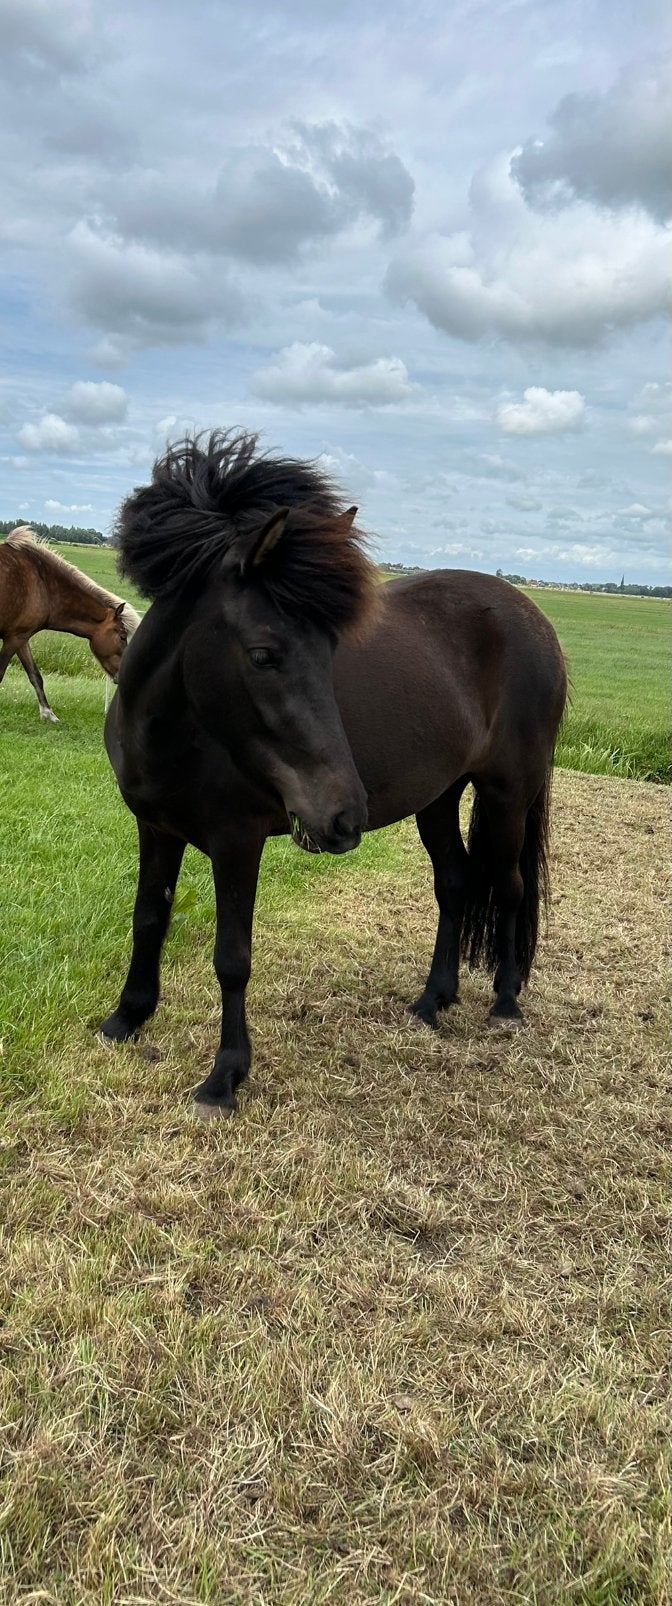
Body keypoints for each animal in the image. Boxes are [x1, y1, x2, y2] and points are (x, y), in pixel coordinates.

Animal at [0, 528, 140, 722]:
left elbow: (35, 676)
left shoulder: (20, 638)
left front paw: (48, 714)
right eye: (122, 636)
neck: (43, 585)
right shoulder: (13, 639)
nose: (124, 675)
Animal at [100, 432, 568, 1118]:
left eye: (330, 649)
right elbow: (148, 920)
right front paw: (126, 1019)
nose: (344, 816)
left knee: (508, 887)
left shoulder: (235, 843)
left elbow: (232, 957)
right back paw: (433, 1000)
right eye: (263, 654)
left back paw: (505, 1003)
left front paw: (224, 1078)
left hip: (509, 792)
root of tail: (534, 617)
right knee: (455, 884)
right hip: (439, 798)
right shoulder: (155, 828)